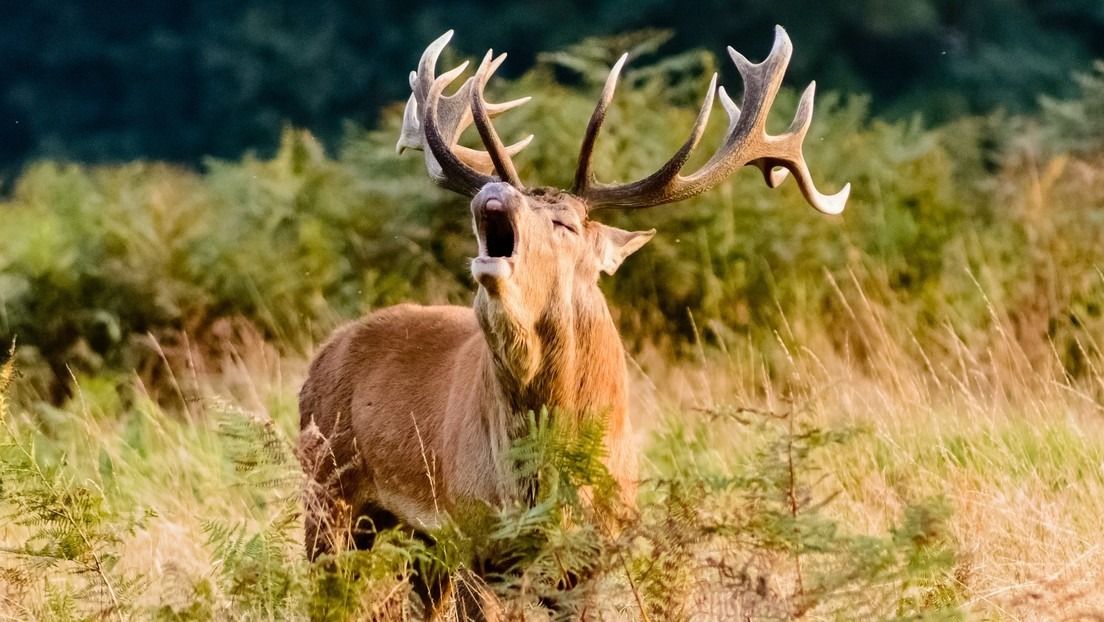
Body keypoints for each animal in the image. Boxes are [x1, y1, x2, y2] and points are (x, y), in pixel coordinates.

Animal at [298, 28, 847, 618]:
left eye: (564, 223)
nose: (492, 192)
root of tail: (322, 354)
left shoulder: (595, 553)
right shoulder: (472, 533)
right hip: (326, 497)